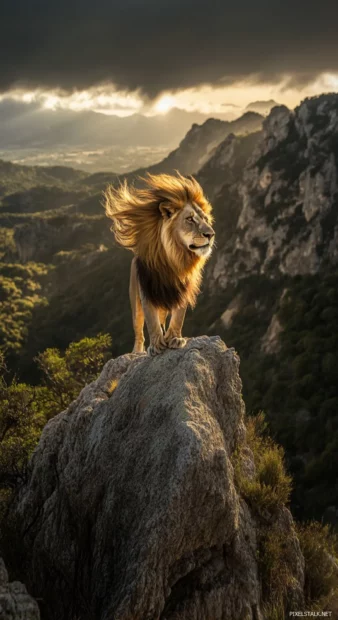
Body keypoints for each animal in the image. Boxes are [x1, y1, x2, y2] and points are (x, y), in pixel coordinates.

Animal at [103, 172, 214, 356]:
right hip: (135, 301)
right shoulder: (147, 290)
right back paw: (137, 351)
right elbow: (151, 321)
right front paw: (156, 345)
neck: (174, 258)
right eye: (190, 219)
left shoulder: (182, 290)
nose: (211, 234)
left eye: (206, 219)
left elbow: (178, 317)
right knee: (139, 330)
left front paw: (174, 338)